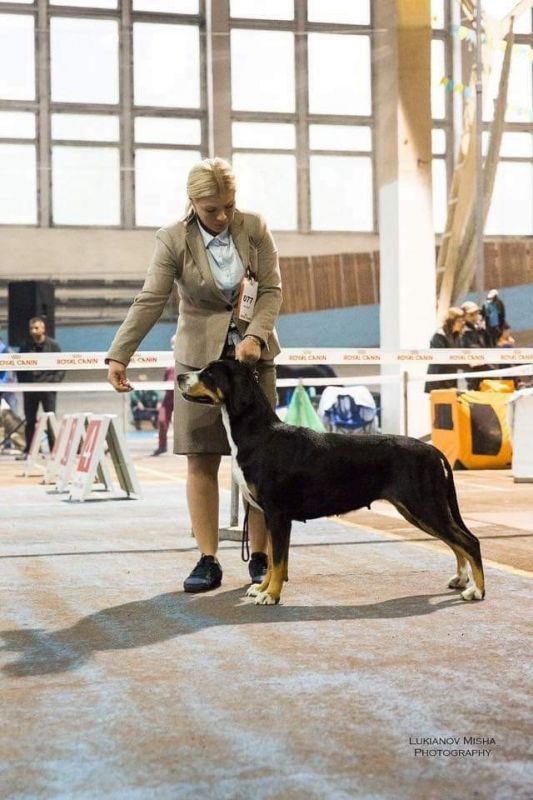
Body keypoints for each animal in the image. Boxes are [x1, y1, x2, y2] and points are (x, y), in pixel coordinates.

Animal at [178, 359, 485, 606]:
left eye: (209, 373)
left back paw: (476, 591)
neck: (260, 435)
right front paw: (263, 588)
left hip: (426, 506)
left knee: (469, 541)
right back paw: (460, 579)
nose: (181, 376)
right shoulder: (269, 515)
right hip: (418, 510)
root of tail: (434, 451)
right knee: (456, 542)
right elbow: (275, 559)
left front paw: (271, 595)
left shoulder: (278, 514)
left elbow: (279, 560)